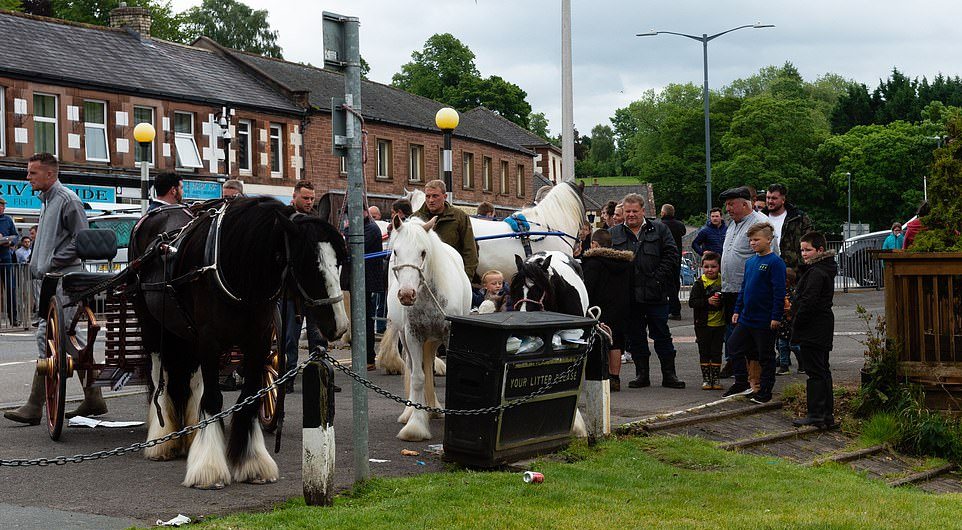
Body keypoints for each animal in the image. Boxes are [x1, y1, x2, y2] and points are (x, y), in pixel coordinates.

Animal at [129, 197, 346, 486]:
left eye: (339, 261)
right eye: (309, 264)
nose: (339, 325)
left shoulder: (258, 342)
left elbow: (249, 398)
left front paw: (252, 463)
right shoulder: (209, 340)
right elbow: (212, 399)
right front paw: (208, 468)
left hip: (187, 333)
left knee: (192, 380)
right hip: (152, 325)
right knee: (159, 378)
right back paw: (160, 441)